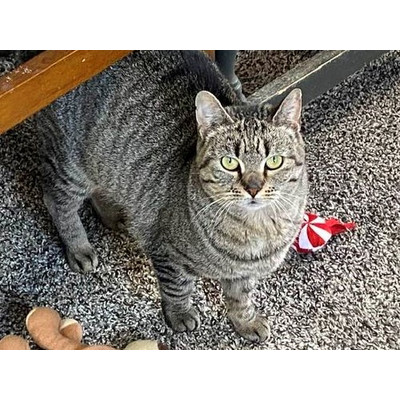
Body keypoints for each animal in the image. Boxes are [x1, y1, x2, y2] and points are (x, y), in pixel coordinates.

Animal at [36, 51, 306, 342]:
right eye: (229, 163)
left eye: (275, 161)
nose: (253, 187)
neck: (254, 230)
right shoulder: (167, 252)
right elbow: (177, 288)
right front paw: (179, 315)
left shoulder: (244, 274)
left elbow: (241, 300)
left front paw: (246, 322)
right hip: (73, 166)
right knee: (56, 201)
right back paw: (79, 247)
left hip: (106, 164)